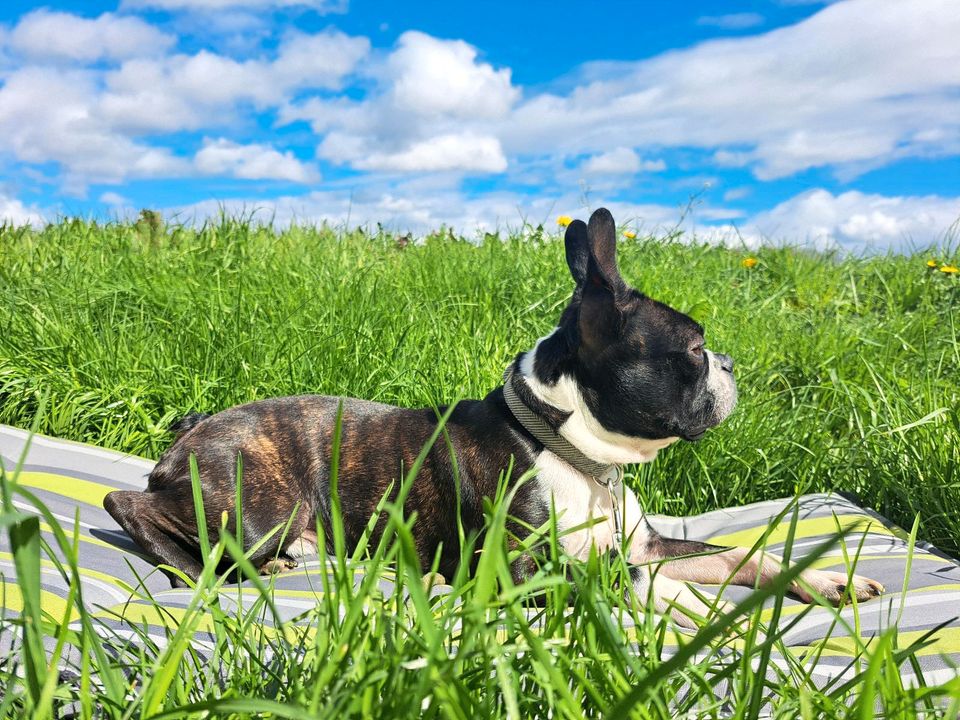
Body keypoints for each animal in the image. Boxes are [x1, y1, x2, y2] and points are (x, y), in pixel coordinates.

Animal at [105, 207, 884, 624]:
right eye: (693, 349)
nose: (729, 366)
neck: (577, 457)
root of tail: (195, 427)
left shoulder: (645, 545)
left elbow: (743, 557)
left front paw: (827, 581)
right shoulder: (519, 570)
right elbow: (663, 585)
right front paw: (704, 614)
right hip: (258, 500)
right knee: (128, 504)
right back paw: (198, 568)